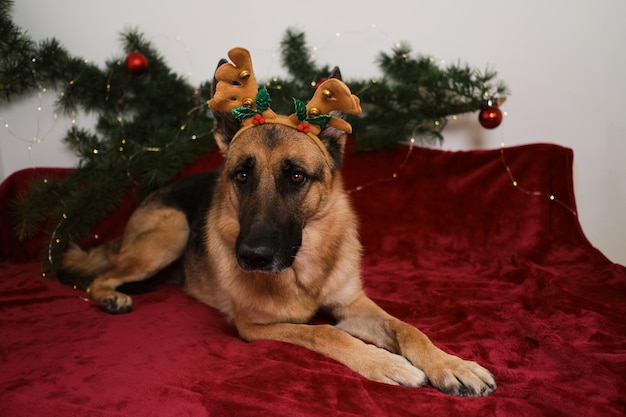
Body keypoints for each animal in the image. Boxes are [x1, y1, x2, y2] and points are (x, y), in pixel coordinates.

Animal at [62, 47, 492, 394]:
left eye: (297, 176)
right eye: (241, 175)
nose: (252, 257)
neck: (304, 270)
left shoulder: (354, 305)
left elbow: (408, 328)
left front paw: (450, 365)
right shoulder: (256, 328)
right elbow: (325, 332)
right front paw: (385, 363)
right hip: (172, 232)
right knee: (98, 278)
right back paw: (111, 296)